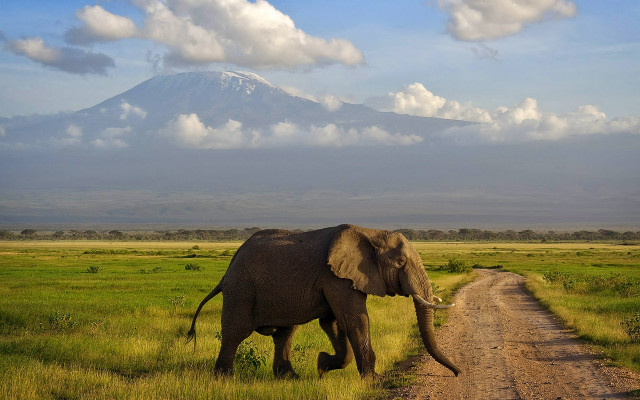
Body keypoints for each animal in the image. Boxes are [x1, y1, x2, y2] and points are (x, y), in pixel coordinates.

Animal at [187, 224, 461, 379]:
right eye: (401, 262)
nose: (458, 373)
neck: (371, 233)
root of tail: (228, 269)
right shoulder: (335, 276)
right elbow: (355, 321)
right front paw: (375, 380)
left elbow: (333, 324)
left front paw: (321, 366)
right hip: (241, 290)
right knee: (235, 332)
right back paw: (224, 379)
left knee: (284, 333)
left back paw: (290, 378)